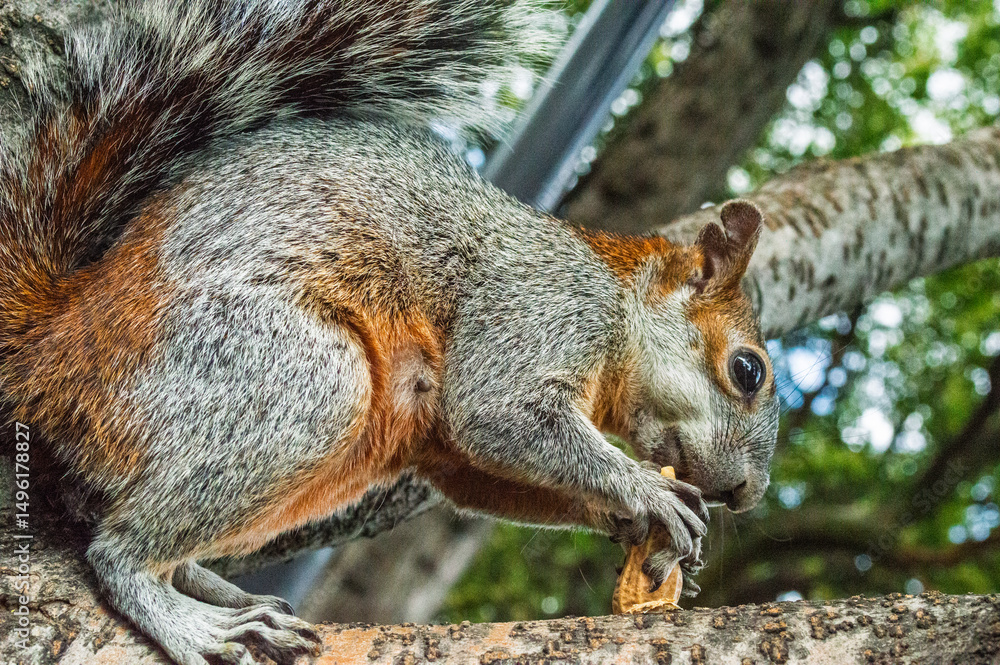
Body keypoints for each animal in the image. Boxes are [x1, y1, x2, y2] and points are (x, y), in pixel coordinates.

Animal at [0, 0, 779, 663]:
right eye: (748, 369)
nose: (746, 494)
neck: (620, 303)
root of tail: (55, 349)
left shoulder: (443, 452)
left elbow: (486, 472)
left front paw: (628, 521)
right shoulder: (542, 307)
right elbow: (496, 411)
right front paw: (644, 490)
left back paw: (226, 593)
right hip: (283, 379)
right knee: (119, 550)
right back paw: (191, 620)